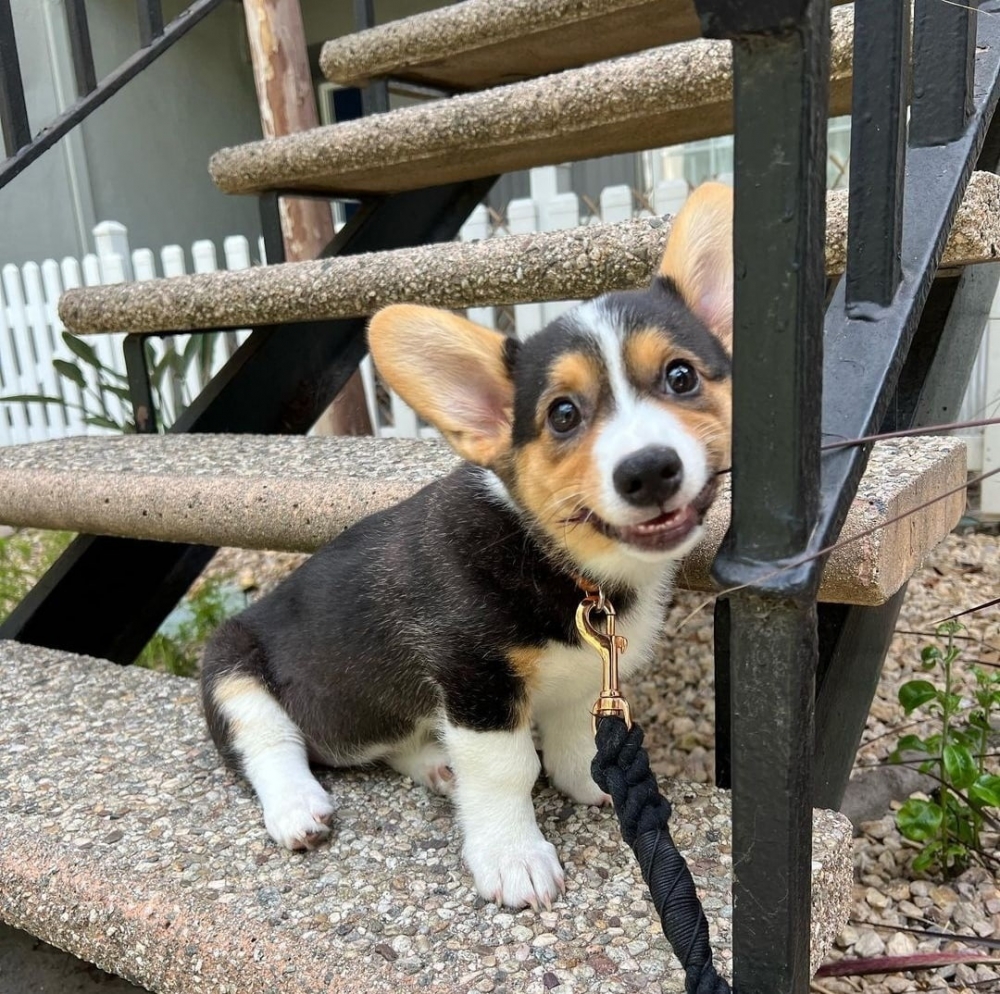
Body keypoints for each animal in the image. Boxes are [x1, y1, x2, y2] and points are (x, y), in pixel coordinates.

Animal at [201, 182, 736, 912]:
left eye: (681, 377)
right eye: (562, 414)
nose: (650, 470)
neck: (565, 563)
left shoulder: (578, 677)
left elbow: (572, 737)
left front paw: (592, 781)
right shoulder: (474, 681)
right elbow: (510, 768)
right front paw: (514, 859)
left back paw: (434, 765)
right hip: (230, 660)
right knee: (269, 742)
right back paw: (297, 808)